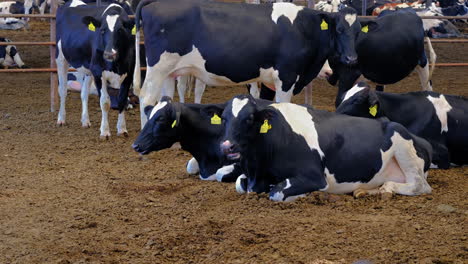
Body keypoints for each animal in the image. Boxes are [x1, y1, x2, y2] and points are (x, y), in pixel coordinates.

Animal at [55, 0, 135, 139]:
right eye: (102, 31)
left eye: (120, 30)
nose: (109, 54)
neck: (117, 65)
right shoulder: (98, 72)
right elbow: (105, 102)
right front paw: (105, 131)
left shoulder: (129, 73)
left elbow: (122, 100)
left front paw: (122, 129)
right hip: (60, 58)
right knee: (63, 90)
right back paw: (61, 119)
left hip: (88, 68)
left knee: (84, 93)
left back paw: (85, 121)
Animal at [133, 0, 360, 128]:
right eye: (339, 29)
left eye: (358, 30)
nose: (351, 59)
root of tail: (155, 4)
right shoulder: (286, 77)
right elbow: (283, 105)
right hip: (158, 69)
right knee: (147, 98)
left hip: (169, 72)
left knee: (166, 98)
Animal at [219, 96, 432, 201]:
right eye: (223, 118)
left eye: (249, 118)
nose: (227, 146)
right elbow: (239, 183)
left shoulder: (314, 177)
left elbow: (276, 192)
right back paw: (366, 191)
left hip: (403, 145)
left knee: (420, 185)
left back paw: (387, 189)